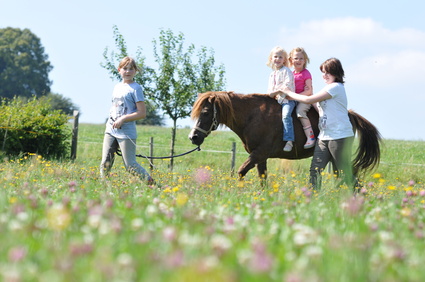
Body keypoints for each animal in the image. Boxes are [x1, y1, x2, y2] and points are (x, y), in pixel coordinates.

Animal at [187, 91, 380, 180]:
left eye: (205, 112)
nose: (193, 137)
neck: (253, 116)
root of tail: (350, 114)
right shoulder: (260, 157)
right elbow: (262, 179)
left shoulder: (259, 154)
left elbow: (241, 171)